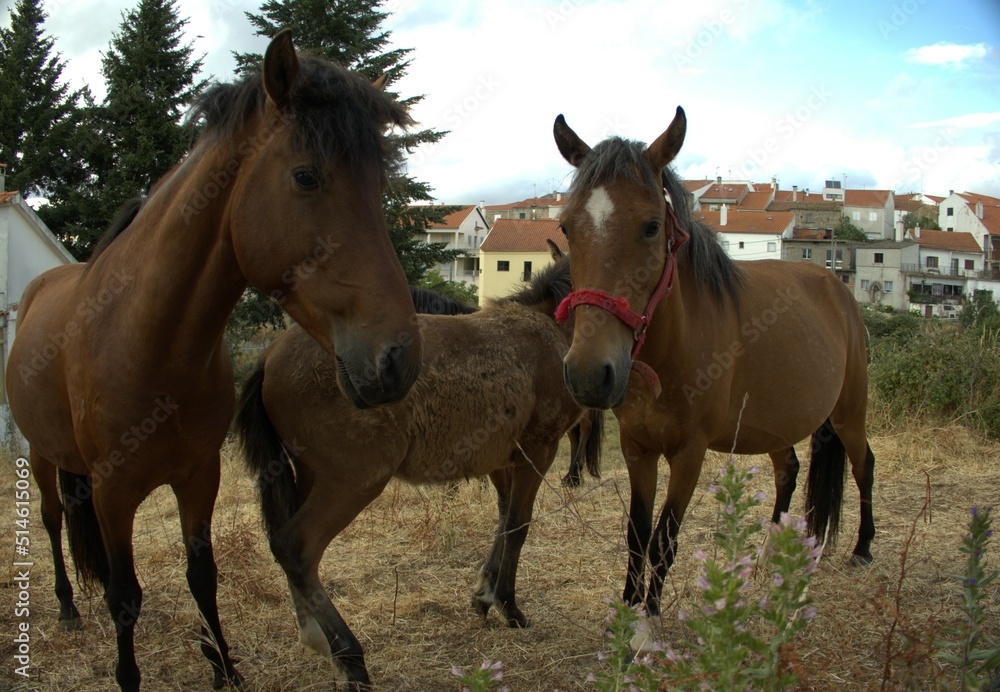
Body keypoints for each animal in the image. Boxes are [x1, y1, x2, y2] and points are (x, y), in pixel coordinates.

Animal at [4, 32, 418, 692]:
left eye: (379, 186)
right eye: (306, 176)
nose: (398, 358)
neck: (149, 343)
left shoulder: (200, 475)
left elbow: (203, 576)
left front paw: (224, 667)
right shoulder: (114, 490)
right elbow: (125, 595)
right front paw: (129, 675)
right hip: (43, 457)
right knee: (48, 519)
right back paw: (68, 608)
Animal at [236, 247, 600, 688]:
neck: (547, 326)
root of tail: (269, 357)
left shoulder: (501, 462)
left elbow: (501, 520)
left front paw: (484, 594)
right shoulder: (537, 450)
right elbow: (517, 526)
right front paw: (509, 607)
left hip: (310, 477)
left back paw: (316, 638)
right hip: (353, 481)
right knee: (294, 547)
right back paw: (348, 656)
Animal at [552, 107, 872, 616]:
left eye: (652, 226)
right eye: (567, 226)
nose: (588, 373)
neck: (670, 355)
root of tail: (838, 287)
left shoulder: (690, 454)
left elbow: (664, 539)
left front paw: (650, 615)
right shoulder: (637, 448)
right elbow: (637, 535)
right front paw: (626, 609)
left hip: (849, 416)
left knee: (864, 468)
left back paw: (862, 548)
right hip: (775, 423)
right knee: (788, 471)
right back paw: (769, 556)